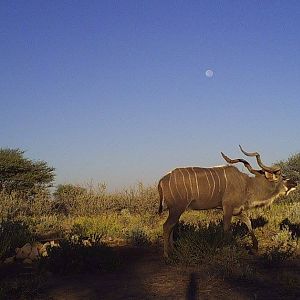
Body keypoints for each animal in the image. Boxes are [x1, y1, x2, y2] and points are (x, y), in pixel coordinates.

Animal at [158, 146, 296, 258]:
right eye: (283, 177)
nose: (295, 183)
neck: (246, 184)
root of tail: (162, 180)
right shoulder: (228, 208)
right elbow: (226, 229)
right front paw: (226, 249)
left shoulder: (237, 210)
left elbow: (248, 222)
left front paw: (255, 248)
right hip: (177, 208)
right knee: (167, 226)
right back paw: (167, 255)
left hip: (174, 210)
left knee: (172, 226)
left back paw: (173, 251)